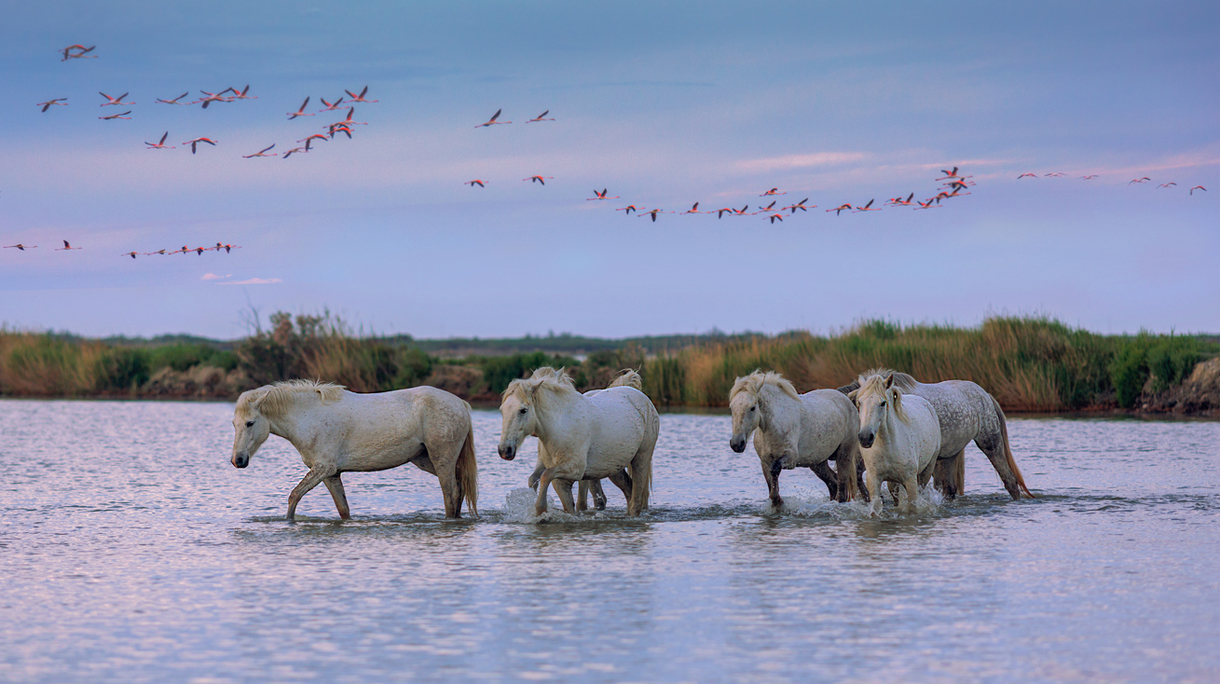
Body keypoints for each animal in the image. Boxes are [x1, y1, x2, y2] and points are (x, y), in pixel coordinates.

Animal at [230, 379, 478, 520]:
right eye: (234, 424)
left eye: (250, 423)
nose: (237, 460)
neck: (308, 416)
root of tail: (461, 404)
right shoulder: (331, 474)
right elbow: (343, 510)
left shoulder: (323, 468)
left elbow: (294, 496)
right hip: (425, 460)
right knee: (459, 488)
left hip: (441, 458)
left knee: (451, 493)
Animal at [728, 370, 861, 508]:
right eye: (732, 408)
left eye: (752, 407)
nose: (736, 444)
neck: (774, 425)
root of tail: (847, 400)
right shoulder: (765, 462)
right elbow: (772, 487)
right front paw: (777, 502)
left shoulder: (790, 458)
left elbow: (774, 470)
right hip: (817, 463)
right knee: (833, 483)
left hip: (844, 454)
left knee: (842, 490)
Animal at [841, 369, 1035, 500]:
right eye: (858, 403)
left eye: (882, 404)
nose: (865, 436)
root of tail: (985, 395)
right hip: (949, 455)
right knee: (949, 489)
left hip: (990, 443)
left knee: (1009, 480)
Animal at [852, 372, 941, 516]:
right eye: (859, 402)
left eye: (883, 403)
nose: (865, 437)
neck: (888, 446)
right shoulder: (874, 479)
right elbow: (876, 507)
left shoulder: (910, 481)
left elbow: (912, 507)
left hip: (928, 469)